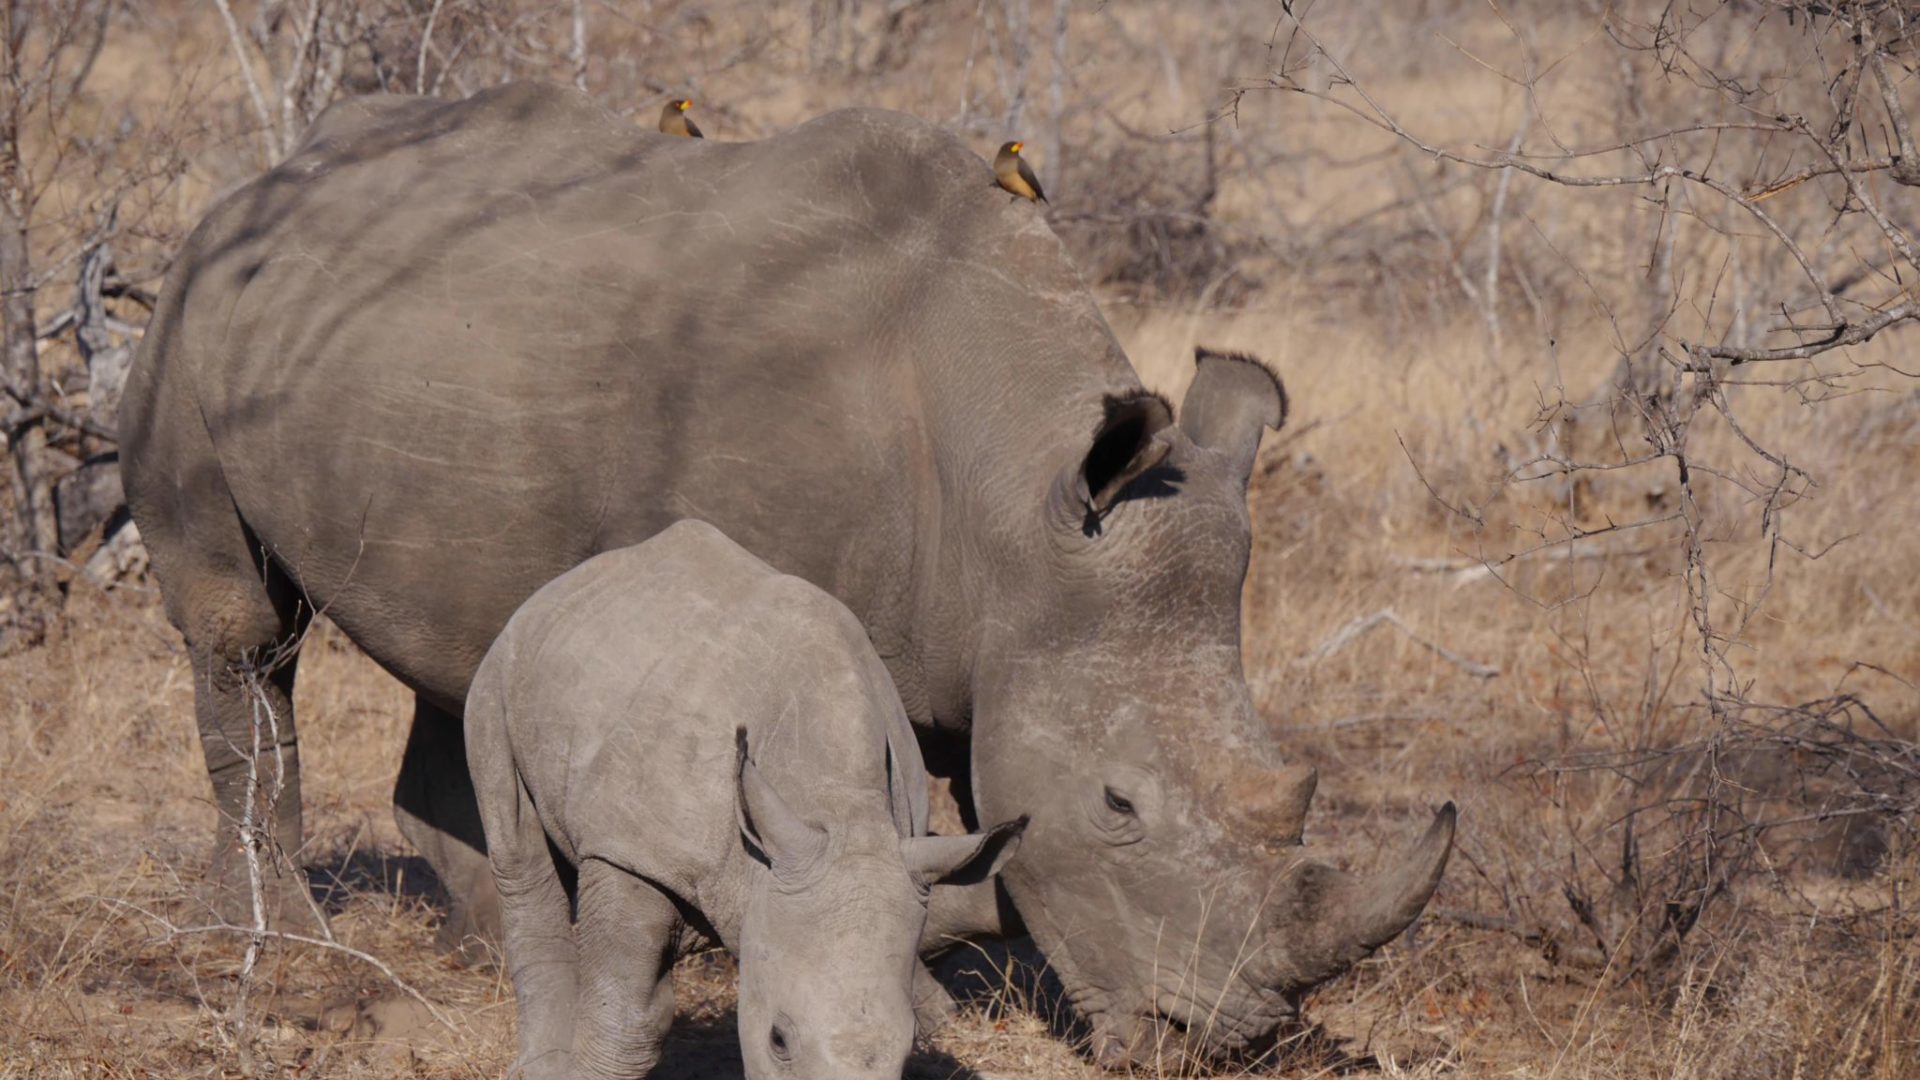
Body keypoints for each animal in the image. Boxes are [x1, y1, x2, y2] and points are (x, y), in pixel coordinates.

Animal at [467, 520, 1024, 1080]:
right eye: (778, 1039)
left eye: (909, 1047)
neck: (839, 808)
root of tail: (570, 583)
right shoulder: (630, 848)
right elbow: (625, 1021)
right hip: (502, 665)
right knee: (517, 849)